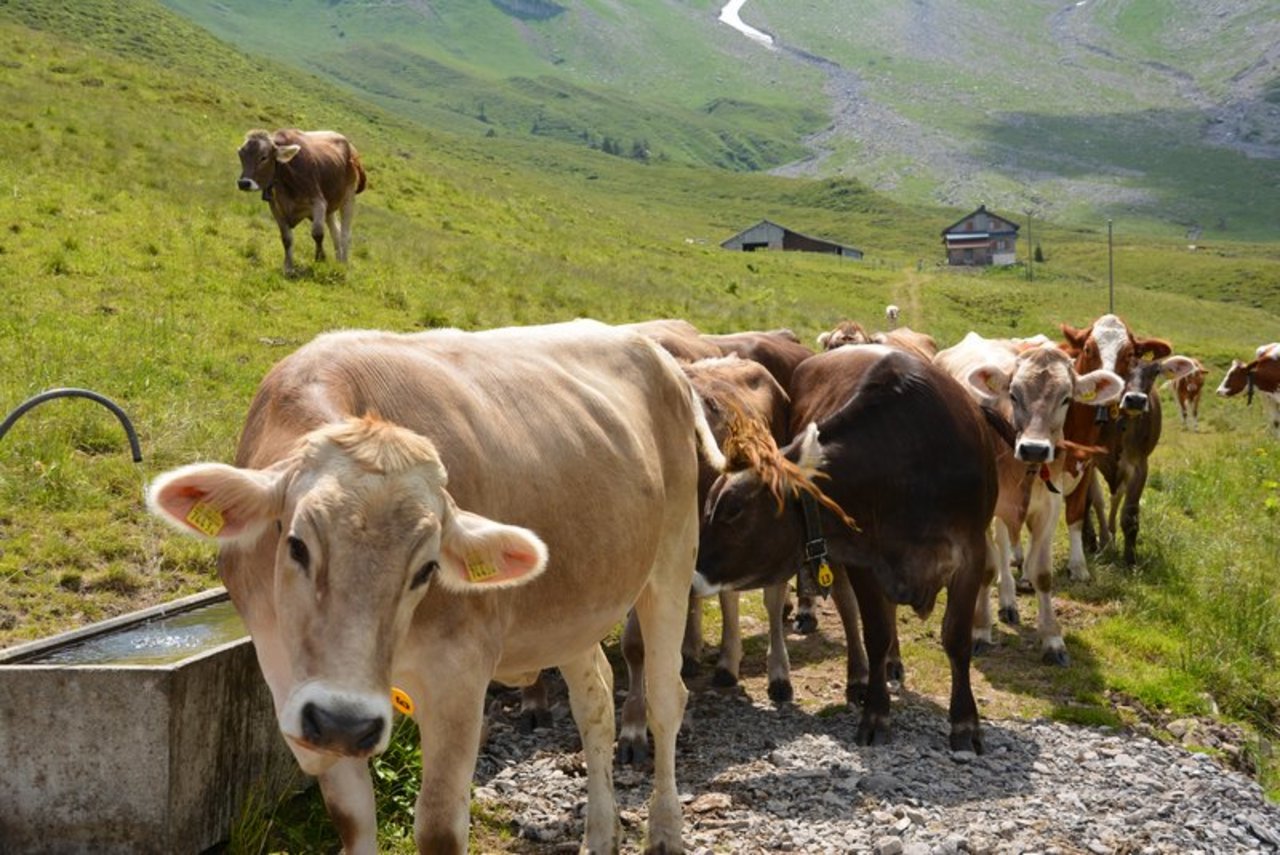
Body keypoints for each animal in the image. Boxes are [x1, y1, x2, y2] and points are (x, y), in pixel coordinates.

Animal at [147, 322, 721, 855]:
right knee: (595, 704)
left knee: (666, 698)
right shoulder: (294, 683)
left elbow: (439, 828)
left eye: (426, 570)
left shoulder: (458, 677)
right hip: (575, 612)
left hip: (672, 560)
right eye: (296, 545)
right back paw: (600, 834)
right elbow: (352, 819)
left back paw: (665, 831)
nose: (344, 721)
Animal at [236, 128, 366, 273]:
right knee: (336, 233)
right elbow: (286, 239)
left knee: (345, 234)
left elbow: (317, 233)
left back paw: (344, 264)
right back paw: (338, 262)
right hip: (330, 207)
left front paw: (320, 258)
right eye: (241, 155)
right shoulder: (276, 208)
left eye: (263, 157)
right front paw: (288, 267)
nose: (244, 183)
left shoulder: (319, 202)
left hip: (348, 197)